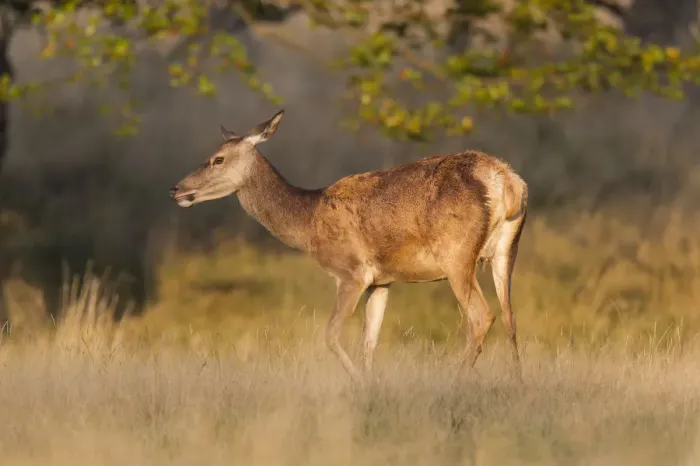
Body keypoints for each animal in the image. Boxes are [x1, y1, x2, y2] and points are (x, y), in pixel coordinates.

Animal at [170, 109, 528, 382]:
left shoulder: (351, 272)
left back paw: (455, 379)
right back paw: (517, 383)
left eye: (217, 159)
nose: (176, 189)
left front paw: (357, 382)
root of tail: (507, 182)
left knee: (482, 315)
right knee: (510, 317)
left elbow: (330, 334)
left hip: (457, 254)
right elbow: (369, 341)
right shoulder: (382, 281)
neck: (308, 222)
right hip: (506, 251)